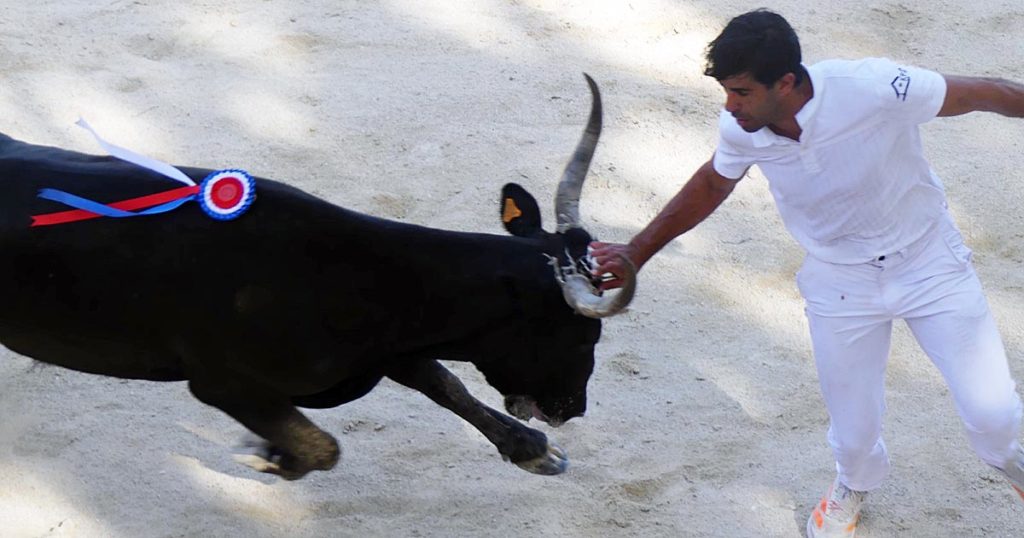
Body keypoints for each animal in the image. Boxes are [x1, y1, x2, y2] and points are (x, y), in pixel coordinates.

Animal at [0, 74, 636, 480]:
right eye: (583, 334)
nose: (574, 409)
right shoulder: (222, 383)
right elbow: (325, 447)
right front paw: (272, 456)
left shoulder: (388, 348)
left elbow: (444, 382)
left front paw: (534, 450)